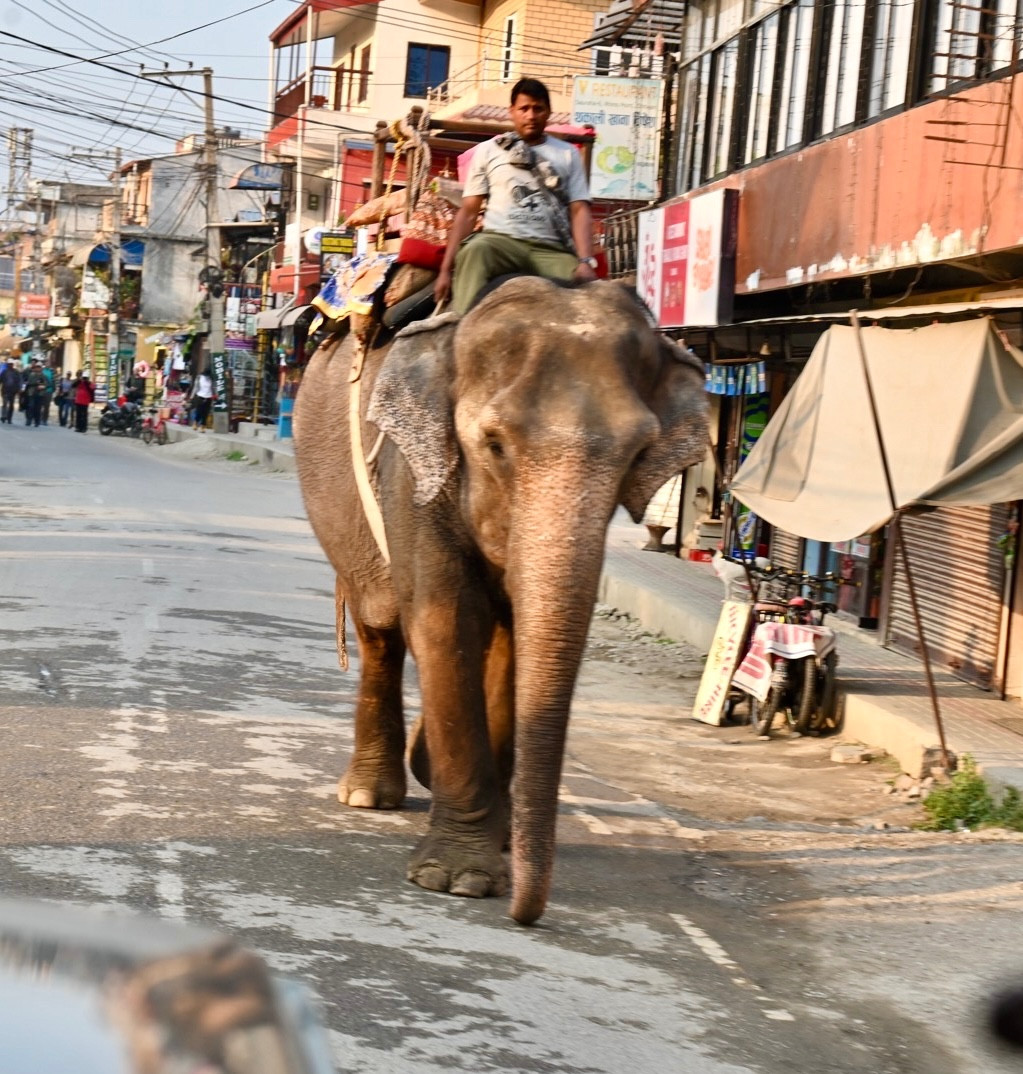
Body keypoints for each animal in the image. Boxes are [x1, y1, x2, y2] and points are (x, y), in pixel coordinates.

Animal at [291, 274, 708, 923]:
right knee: (381, 627)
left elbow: (516, 632)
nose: (525, 913)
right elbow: (446, 618)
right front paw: (458, 879)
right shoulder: (414, 472)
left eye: (638, 453)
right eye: (494, 445)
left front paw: (498, 839)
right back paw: (367, 794)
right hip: (337, 505)